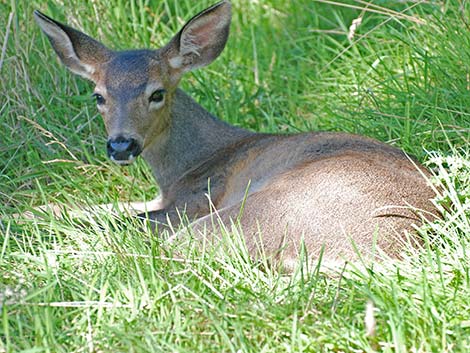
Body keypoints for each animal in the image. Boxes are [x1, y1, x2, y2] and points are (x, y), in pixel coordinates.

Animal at [34, 1, 436, 268]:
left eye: (156, 93)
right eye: (98, 96)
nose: (121, 144)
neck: (185, 168)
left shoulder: (195, 201)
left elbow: (119, 221)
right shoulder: (163, 198)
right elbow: (100, 208)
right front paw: (37, 208)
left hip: (252, 211)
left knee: (162, 250)